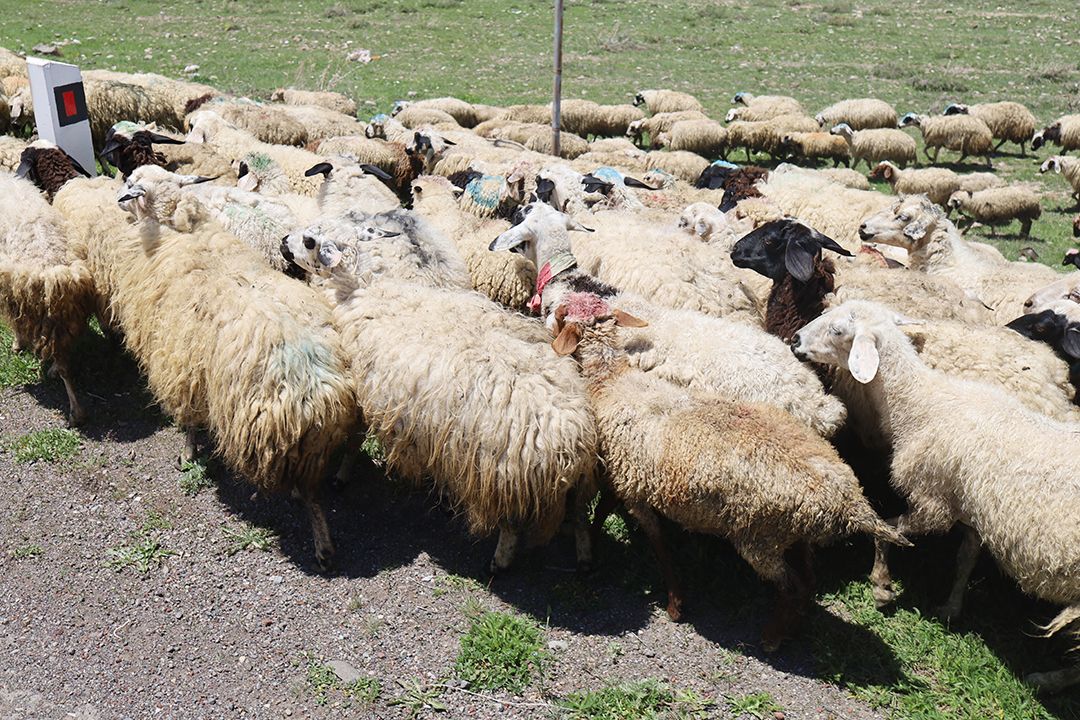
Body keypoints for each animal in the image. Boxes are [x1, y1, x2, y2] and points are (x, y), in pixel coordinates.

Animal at [0, 175, 95, 424]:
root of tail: (54, 272)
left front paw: (17, 346)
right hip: (64, 317)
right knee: (64, 356)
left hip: (31, 309)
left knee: (62, 365)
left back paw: (75, 413)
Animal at [53, 175, 354, 570]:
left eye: (132, 183)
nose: (116, 197)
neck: (178, 229)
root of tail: (317, 383)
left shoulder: (181, 365)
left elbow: (190, 420)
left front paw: (188, 455)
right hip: (315, 440)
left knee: (312, 496)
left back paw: (323, 547)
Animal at [550, 291, 907, 647]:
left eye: (562, 315)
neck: (614, 380)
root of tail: (850, 500)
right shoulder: (624, 479)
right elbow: (604, 511)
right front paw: (592, 544)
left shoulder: (635, 490)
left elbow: (659, 545)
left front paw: (675, 604)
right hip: (794, 533)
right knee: (808, 581)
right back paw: (791, 630)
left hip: (760, 538)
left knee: (792, 587)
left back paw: (771, 639)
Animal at [792, 300, 1080, 693]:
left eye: (838, 330)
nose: (795, 340)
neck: (923, 402)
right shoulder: (970, 506)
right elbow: (965, 559)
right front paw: (951, 607)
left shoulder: (933, 503)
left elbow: (889, 530)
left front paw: (881, 586)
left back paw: (1046, 679)